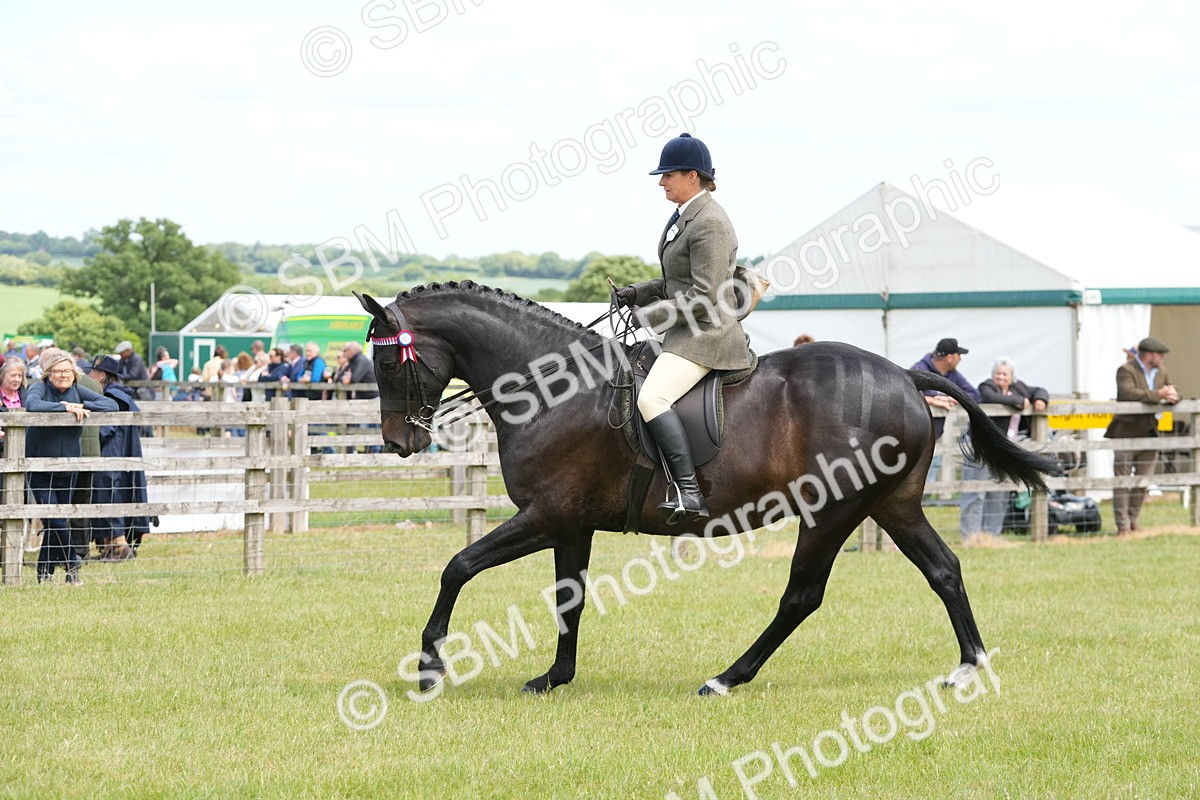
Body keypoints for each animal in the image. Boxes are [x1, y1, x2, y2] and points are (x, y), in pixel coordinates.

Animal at [355, 281, 1056, 696]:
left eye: (387, 360)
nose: (398, 442)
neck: (553, 387)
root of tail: (908, 380)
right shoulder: (571, 523)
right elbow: (568, 598)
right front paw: (555, 676)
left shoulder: (545, 514)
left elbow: (457, 566)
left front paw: (430, 667)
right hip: (893, 505)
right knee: (944, 570)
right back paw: (969, 665)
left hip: (832, 510)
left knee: (802, 596)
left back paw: (727, 678)